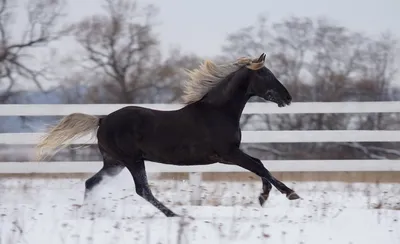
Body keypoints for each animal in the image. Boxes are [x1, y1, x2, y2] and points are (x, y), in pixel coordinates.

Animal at [36, 53, 300, 217]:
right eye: (266, 75)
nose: (288, 97)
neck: (218, 112)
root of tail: (102, 120)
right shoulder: (228, 153)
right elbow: (259, 166)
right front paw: (290, 194)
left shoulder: (227, 156)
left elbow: (259, 164)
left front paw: (263, 197)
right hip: (132, 160)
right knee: (142, 189)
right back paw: (174, 214)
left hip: (114, 163)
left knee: (91, 183)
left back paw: (88, 213)